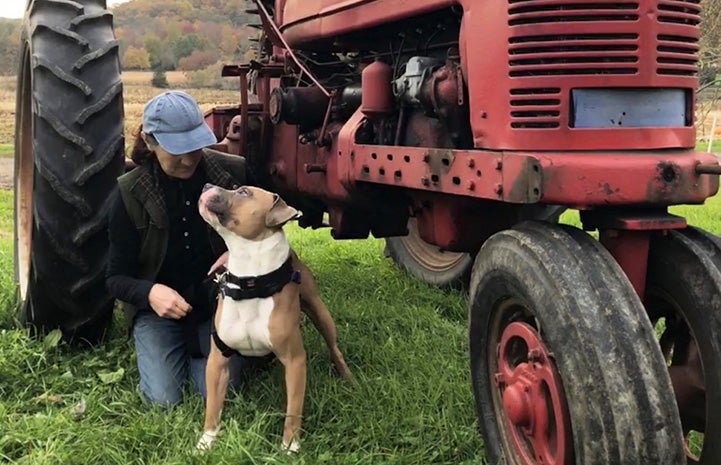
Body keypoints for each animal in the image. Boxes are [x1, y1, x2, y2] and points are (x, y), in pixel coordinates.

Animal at [195, 183, 352, 452]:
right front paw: (205, 443)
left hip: (320, 313)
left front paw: (290, 446)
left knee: (334, 348)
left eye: (244, 192)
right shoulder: (217, 361)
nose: (206, 185)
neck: (250, 282)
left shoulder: (296, 360)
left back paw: (349, 379)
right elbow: (213, 407)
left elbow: (294, 410)